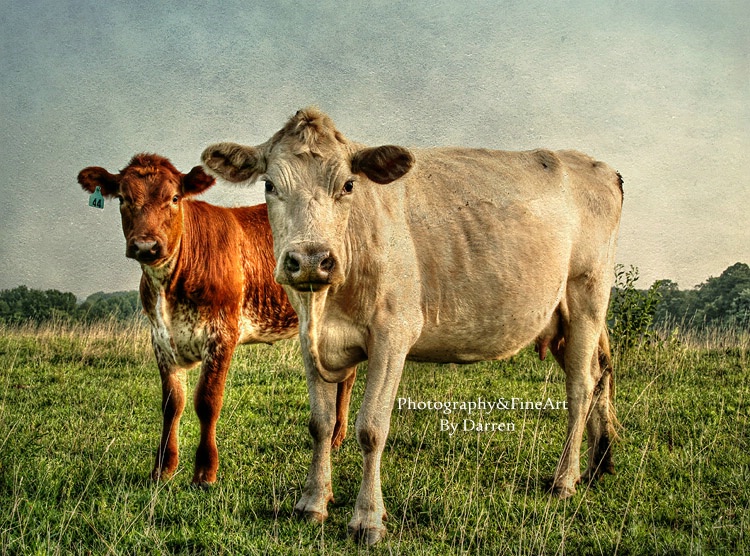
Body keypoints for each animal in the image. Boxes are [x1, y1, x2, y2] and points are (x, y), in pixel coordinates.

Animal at [78, 153, 356, 486]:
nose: (146, 246)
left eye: (174, 198)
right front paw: (163, 468)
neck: (170, 286)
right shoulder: (161, 337)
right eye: (123, 198)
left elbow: (207, 401)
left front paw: (205, 471)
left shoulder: (222, 334)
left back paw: (337, 436)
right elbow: (172, 403)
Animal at [203, 107, 624, 544]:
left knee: (581, 387)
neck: (328, 306)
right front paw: (312, 502)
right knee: (599, 375)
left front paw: (368, 519)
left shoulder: (393, 333)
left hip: (587, 296)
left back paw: (565, 479)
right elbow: (320, 423)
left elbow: (371, 428)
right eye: (269, 184)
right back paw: (596, 465)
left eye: (349, 184)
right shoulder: (309, 338)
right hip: (562, 319)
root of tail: (598, 166)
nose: (310, 259)